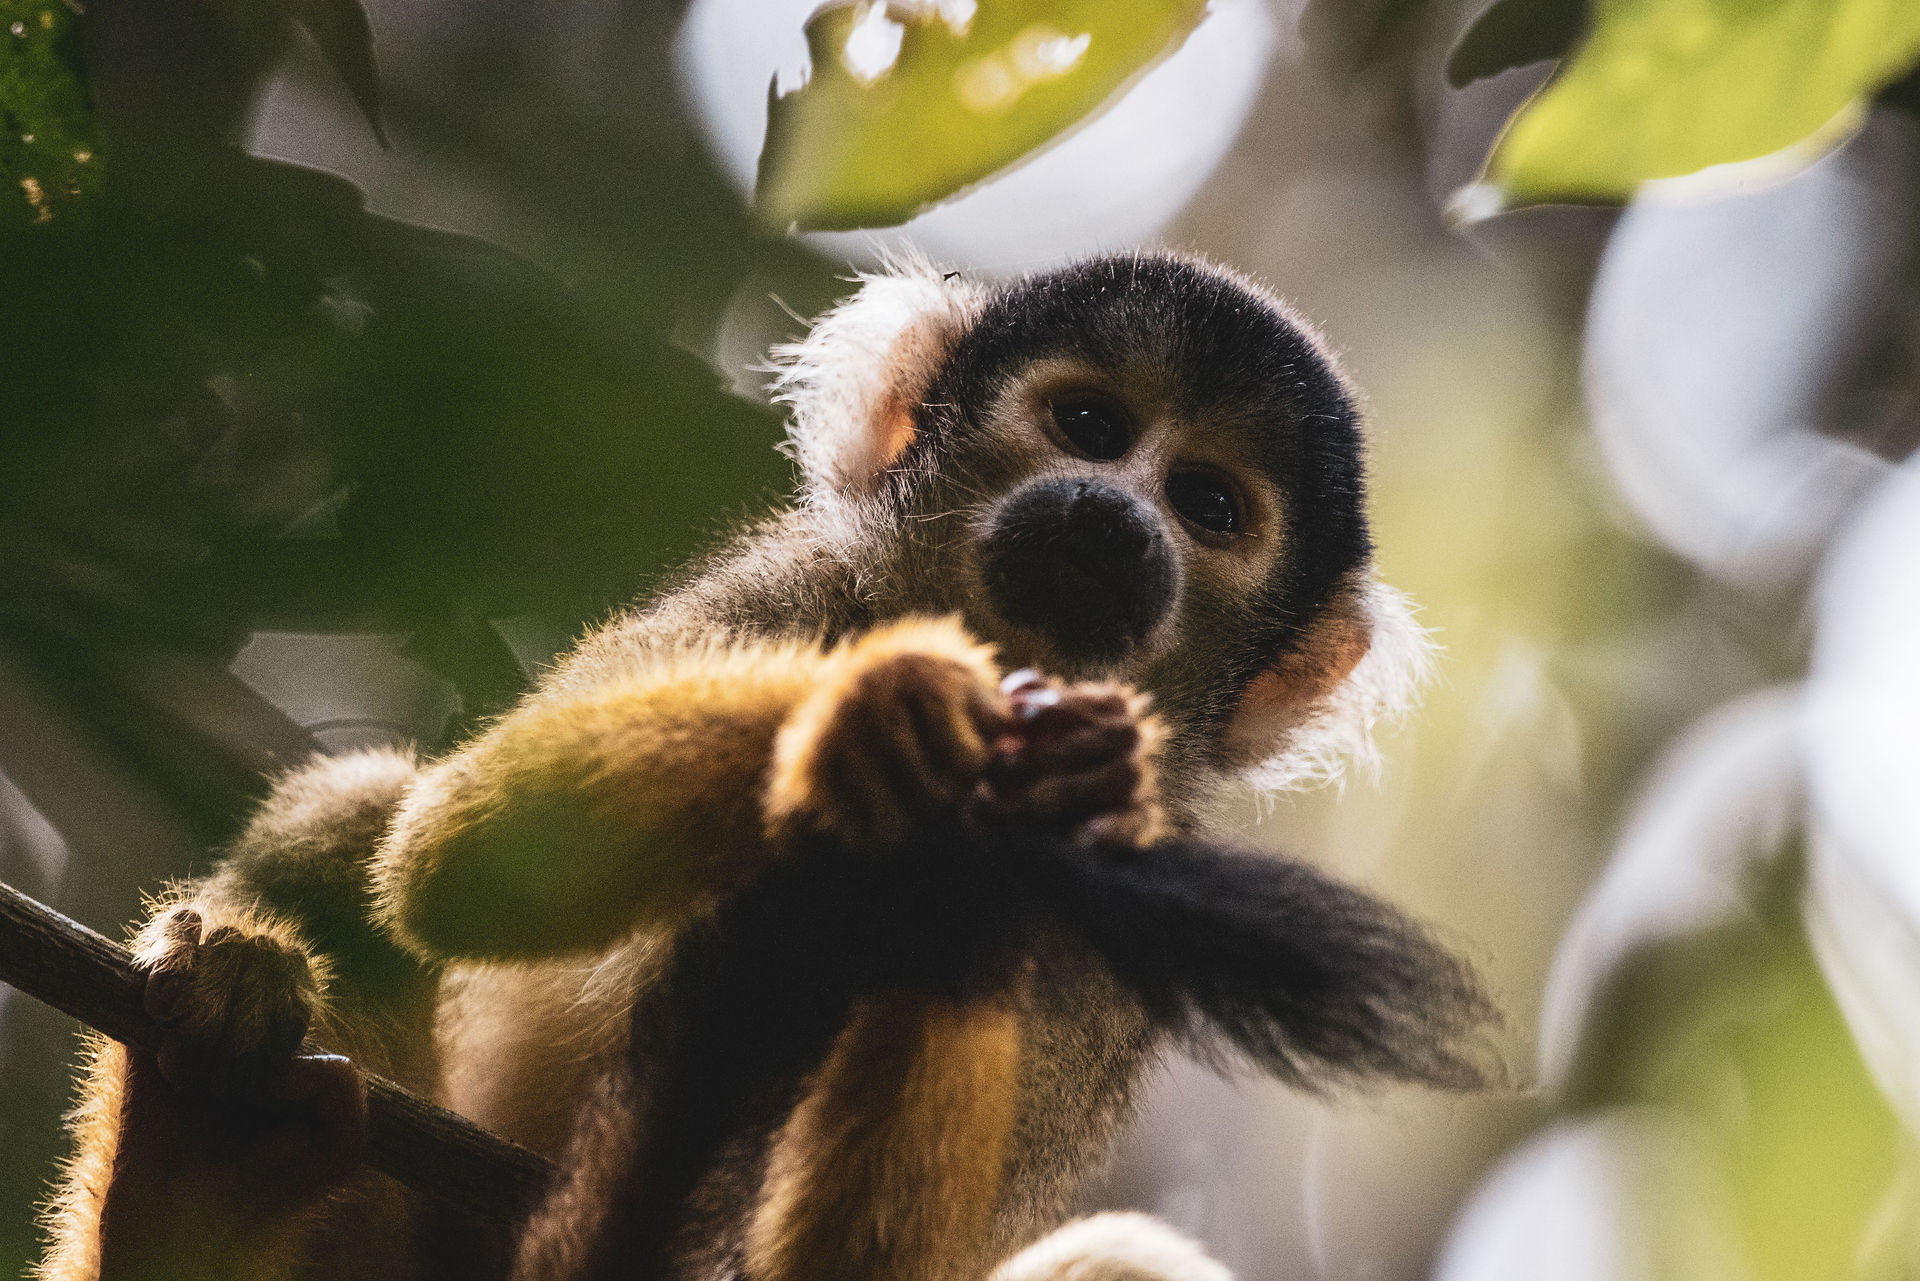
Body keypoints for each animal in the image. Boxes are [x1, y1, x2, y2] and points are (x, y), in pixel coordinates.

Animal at [36, 251, 1497, 1281]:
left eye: (1208, 506)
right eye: (1089, 422)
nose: (1112, 513)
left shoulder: (1139, 890)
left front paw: (964, 879)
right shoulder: (795, 583)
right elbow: (473, 855)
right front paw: (881, 706)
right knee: (356, 815)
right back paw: (187, 1178)